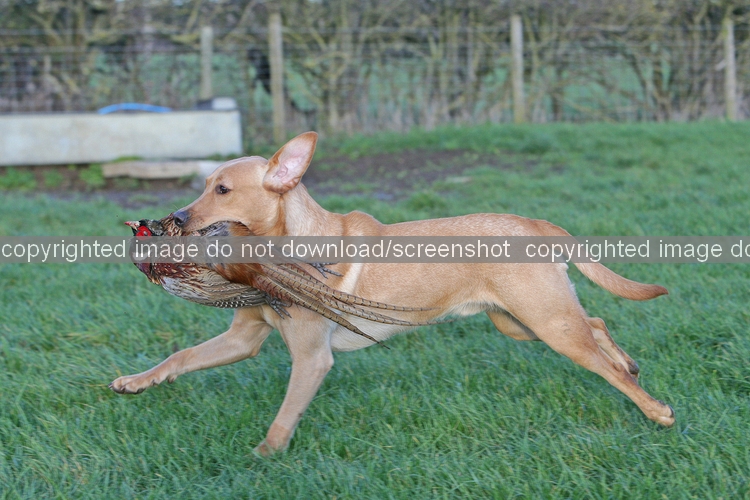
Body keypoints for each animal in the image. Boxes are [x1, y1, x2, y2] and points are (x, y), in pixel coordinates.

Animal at [110, 131, 674, 455]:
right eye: (204, 184)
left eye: (222, 190)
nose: (176, 218)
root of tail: (535, 224)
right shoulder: (244, 338)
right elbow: (181, 356)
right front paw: (135, 382)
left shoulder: (312, 359)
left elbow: (285, 416)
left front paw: (262, 457)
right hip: (520, 322)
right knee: (598, 324)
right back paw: (628, 363)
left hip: (547, 324)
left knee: (600, 357)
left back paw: (655, 409)